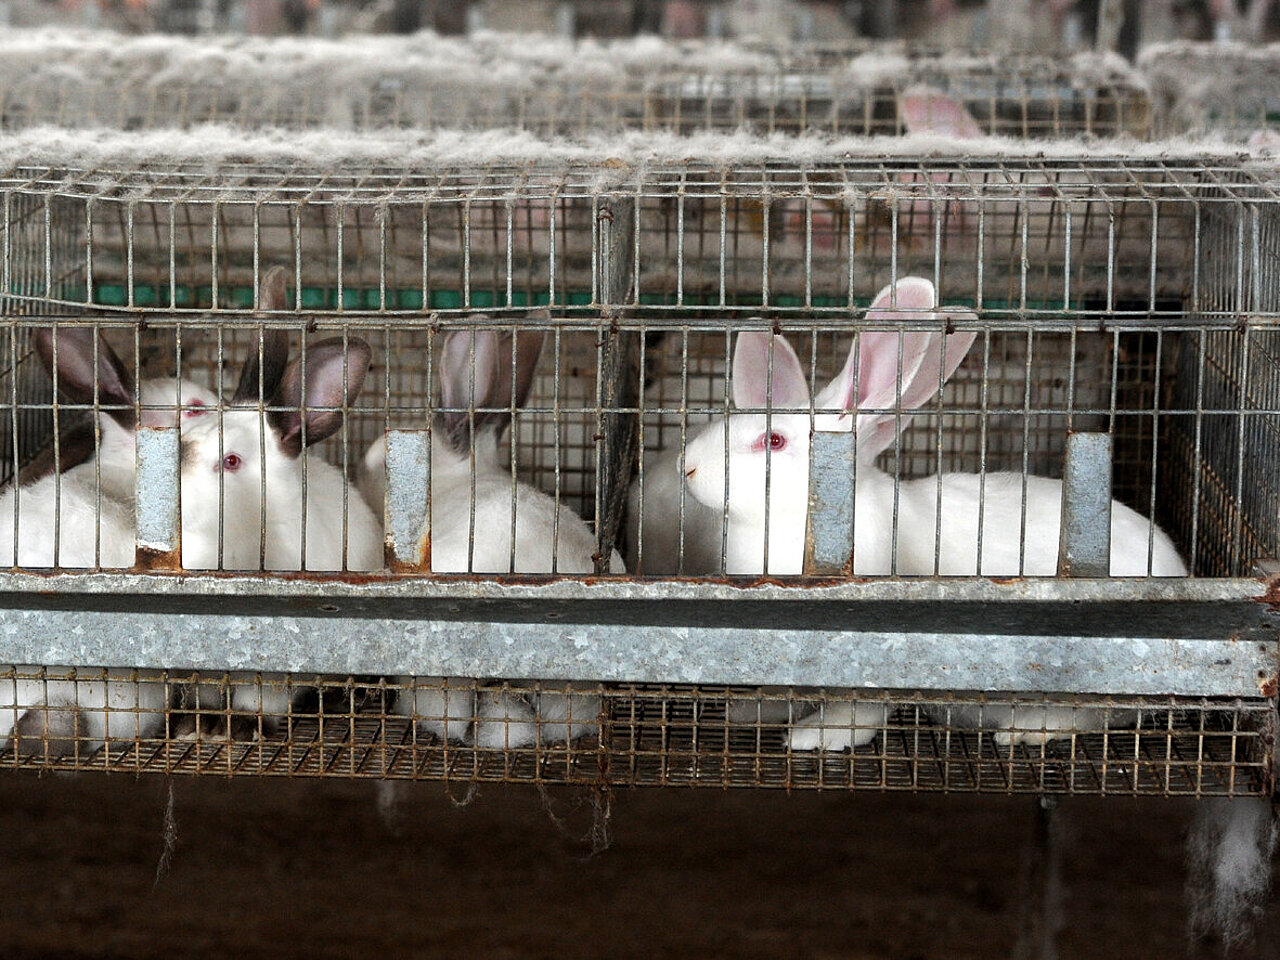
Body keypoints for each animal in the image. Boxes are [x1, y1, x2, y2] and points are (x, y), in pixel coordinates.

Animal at [680, 276, 1187, 752]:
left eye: (774, 441)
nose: (688, 466)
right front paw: (747, 710)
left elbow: (858, 708)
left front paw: (816, 736)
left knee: (1089, 715)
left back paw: (1023, 730)